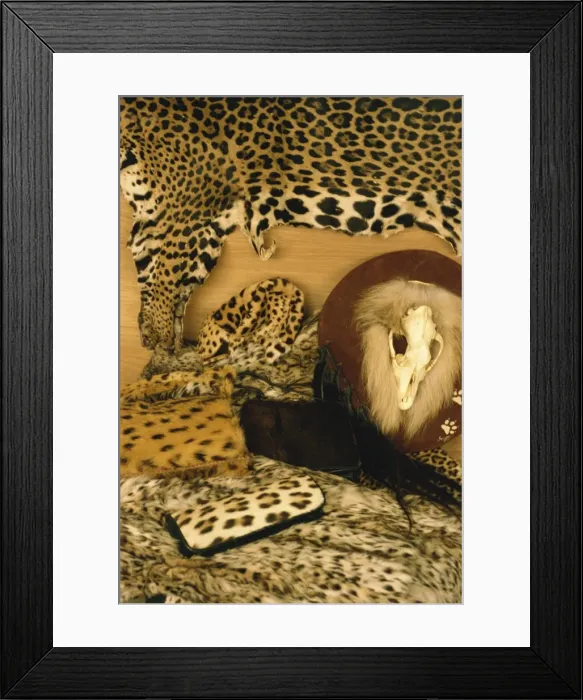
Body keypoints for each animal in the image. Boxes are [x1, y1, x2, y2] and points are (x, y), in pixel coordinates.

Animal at [120, 96, 462, 350]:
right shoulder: (182, 221)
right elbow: (157, 272)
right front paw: (158, 338)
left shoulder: (184, 212)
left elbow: (164, 274)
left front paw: (160, 336)